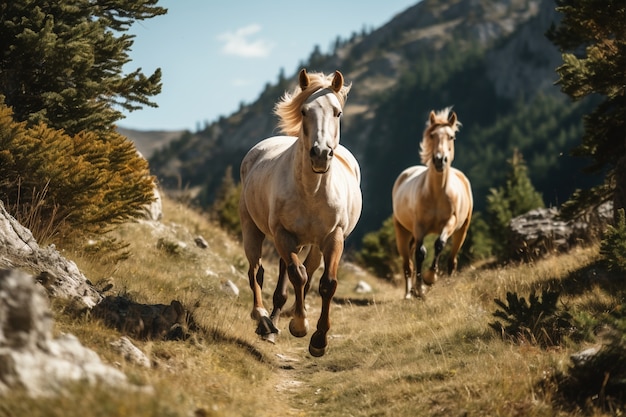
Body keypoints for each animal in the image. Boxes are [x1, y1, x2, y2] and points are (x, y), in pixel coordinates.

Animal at [236, 67, 360, 354]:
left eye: (338, 112)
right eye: (305, 111)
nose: (321, 154)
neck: (312, 192)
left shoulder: (334, 237)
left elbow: (326, 283)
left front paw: (319, 340)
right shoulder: (282, 234)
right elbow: (297, 274)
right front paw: (300, 325)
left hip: (310, 243)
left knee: (304, 270)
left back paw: (277, 317)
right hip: (253, 228)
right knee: (256, 271)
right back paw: (264, 319)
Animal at [392, 105, 470, 298]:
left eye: (452, 137)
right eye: (432, 135)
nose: (439, 160)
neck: (437, 194)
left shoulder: (450, 222)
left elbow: (439, 244)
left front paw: (430, 277)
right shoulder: (419, 227)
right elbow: (420, 254)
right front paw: (421, 288)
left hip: (461, 231)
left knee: (452, 260)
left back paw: (448, 285)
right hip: (403, 231)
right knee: (408, 264)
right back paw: (409, 294)